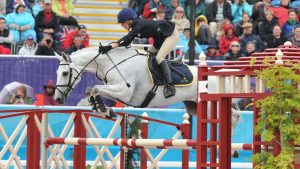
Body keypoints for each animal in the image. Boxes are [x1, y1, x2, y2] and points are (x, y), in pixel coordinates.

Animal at [54, 46, 234, 117]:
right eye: (57, 72)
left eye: (65, 73)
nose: (57, 99)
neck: (113, 62)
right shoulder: (118, 93)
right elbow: (92, 89)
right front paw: (103, 110)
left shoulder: (124, 92)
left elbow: (95, 88)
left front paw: (104, 110)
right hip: (194, 107)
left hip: (210, 106)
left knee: (234, 116)